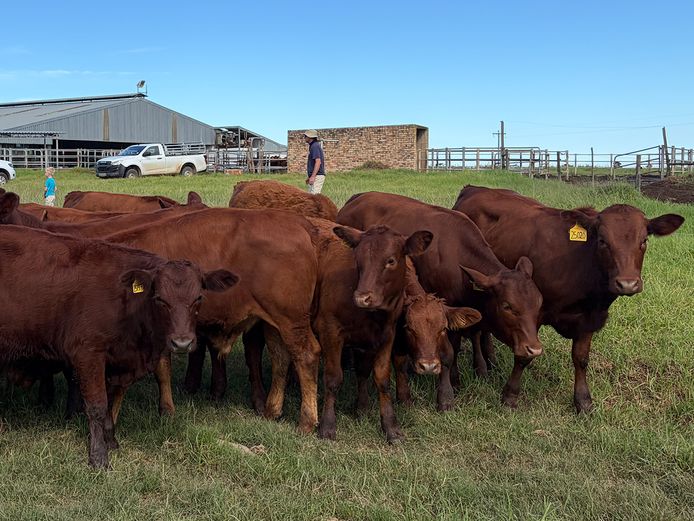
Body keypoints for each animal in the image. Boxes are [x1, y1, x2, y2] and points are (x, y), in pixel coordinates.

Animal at [0, 224, 237, 468]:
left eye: (198, 298)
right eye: (160, 299)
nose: (182, 342)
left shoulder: (116, 362)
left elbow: (110, 404)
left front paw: (111, 440)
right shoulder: (88, 354)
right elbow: (97, 405)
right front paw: (98, 457)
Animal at [337, 192, 544, 411]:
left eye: (539, 305)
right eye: (507, 306)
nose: (534, 348)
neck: (457, 255)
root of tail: (358, 197)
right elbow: (447, 353)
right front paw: (447, 393)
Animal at [453, 185, 685, 411]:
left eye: (643, 241)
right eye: (602, 241)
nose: (627, 283)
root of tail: (474, 188)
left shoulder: (590, 317)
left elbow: (581, 359)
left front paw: (583, 400)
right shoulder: (532, 314)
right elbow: (524, 354)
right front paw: (510, 396)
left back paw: (491, 359)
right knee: (476, 330)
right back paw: (481, 366)